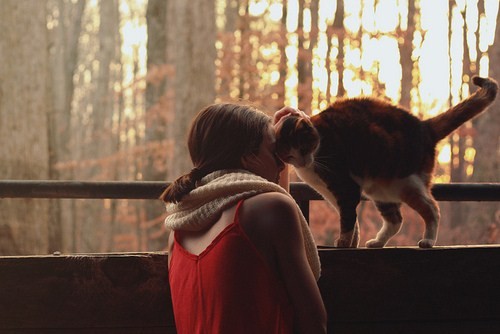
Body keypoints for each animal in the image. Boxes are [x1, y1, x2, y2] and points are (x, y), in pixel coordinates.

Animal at [276, 75, 498, 248]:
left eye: (303, 147)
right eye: (290, 156)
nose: (303, 162)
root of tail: (424, 126)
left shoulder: (345, 187)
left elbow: (347, 218)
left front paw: (344, 242)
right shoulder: (331, 192)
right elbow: (351, 219)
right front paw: (352, 242)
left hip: (404, 182)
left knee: (432, 208)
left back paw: (427, 240)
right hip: (379, 188)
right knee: (396, 220)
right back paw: (377, 242)